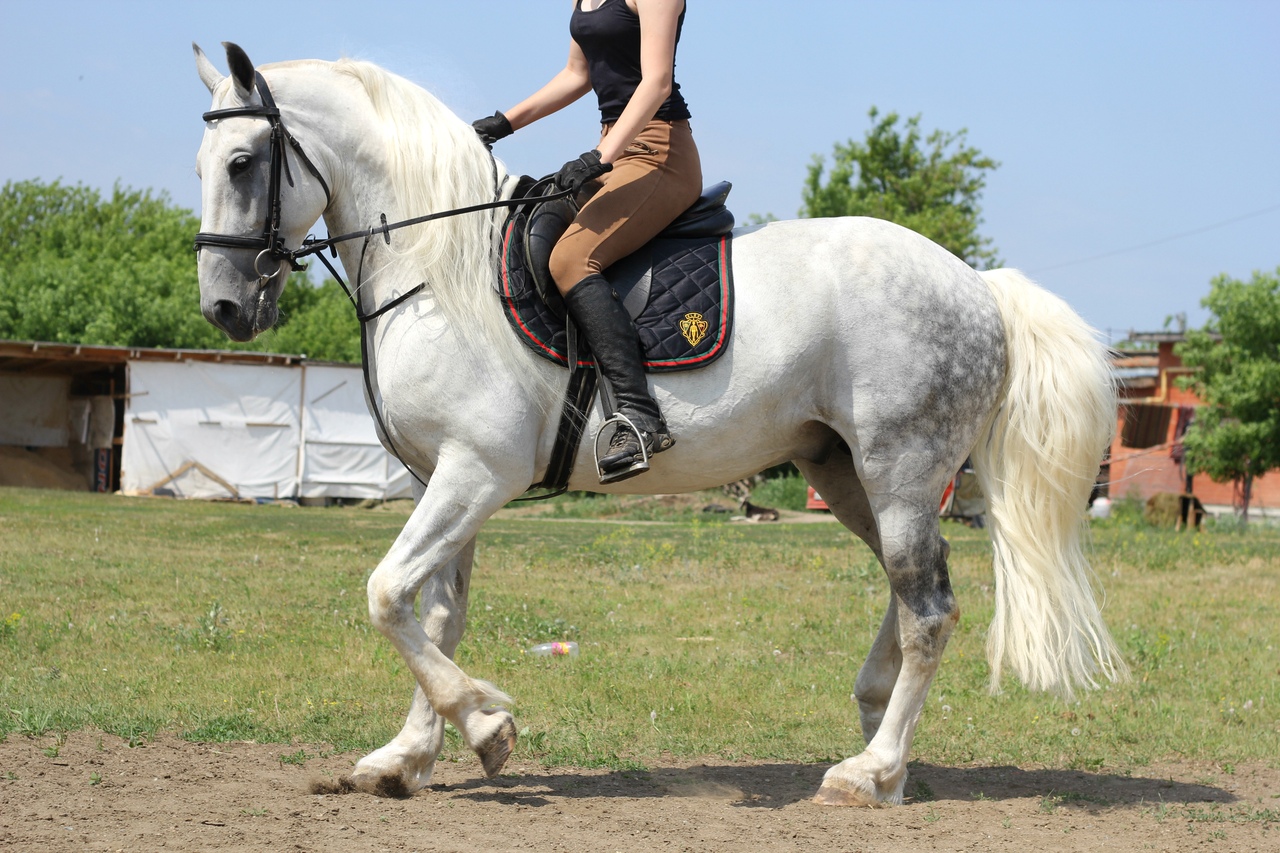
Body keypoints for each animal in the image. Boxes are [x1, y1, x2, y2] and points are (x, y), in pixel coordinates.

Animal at [192, 41, 1131, 804]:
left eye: (241, 162)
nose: (224, 308)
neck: (435, 266)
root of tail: (978, 284)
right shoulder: (445, 477)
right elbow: (434, 614)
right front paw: (410, 755)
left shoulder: (477, 472)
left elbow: (387, 594)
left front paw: (485, 723)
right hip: (845, 470)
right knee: (910, 593)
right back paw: (876, 729)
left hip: (901, 466)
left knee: (927, 607)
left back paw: (871, 772)